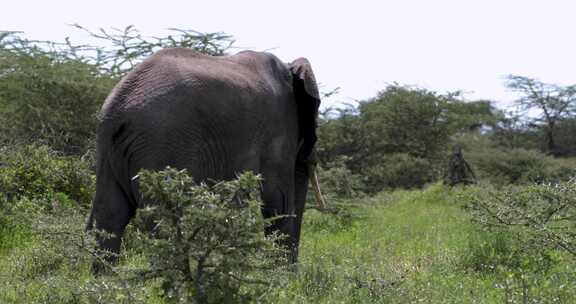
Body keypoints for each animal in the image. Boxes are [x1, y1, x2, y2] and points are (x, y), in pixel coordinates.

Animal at [86, 47, 322, 268]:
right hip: (161, 143)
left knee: (109, 215)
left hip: (110, 148)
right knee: (163, 220)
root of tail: (119, 107)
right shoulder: (279, 128)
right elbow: (278, 202)